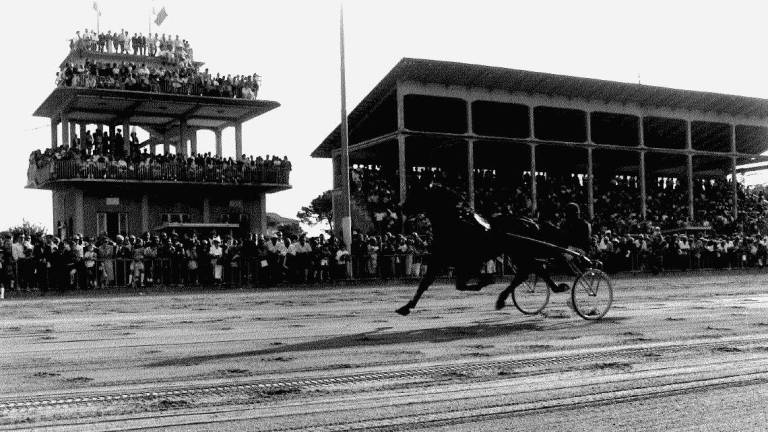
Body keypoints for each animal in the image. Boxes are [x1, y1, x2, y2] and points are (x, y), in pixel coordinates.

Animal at [396, 184, 564, 316]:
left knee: (528, 271)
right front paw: (406, 307)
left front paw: (486, 280)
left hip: (519, 254)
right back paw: (556, 288)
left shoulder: (465, 261)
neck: (456, 224)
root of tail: (532, 222)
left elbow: (465, 282)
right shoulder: (442, 260)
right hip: (519, 254)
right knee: (534, 269)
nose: (401, 207)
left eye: (416, 193)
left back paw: (502, 299)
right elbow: (427, 283)